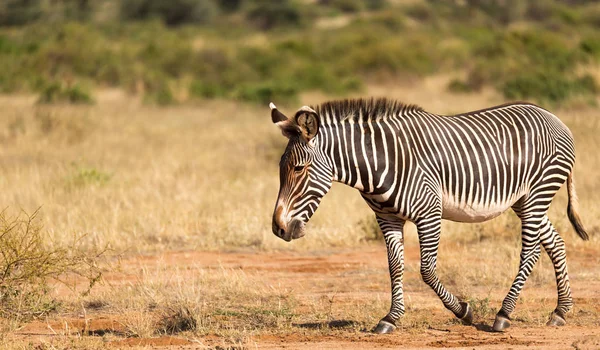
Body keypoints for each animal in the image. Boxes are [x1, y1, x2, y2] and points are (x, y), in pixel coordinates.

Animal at [270, 97, 588, 332]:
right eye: (280, 168)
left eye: (299, 169)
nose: (279, 229)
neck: (379, 162)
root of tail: (554, 117)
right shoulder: (387, 218)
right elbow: (395, 267)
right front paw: (390, 318)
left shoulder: (430, 213)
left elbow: (426, 270)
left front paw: (463, 311)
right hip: (523, 200)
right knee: (556, 243)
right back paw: (561, 311)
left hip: (538, 193)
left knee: (530, 251)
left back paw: (504, 314)